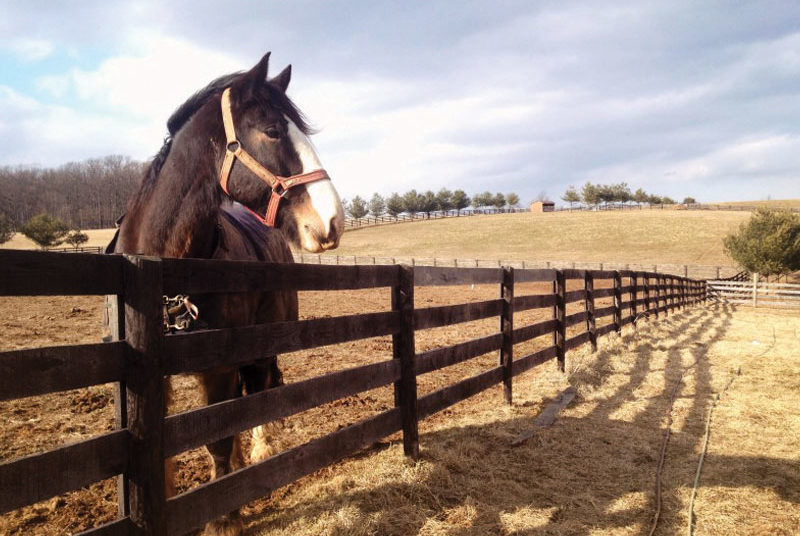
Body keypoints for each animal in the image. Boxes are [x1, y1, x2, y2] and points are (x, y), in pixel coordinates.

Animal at [108, 51, 344, 536]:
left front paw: (223, 518)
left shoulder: (218, 368)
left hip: (260, 349)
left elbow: (218, 438)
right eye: (273, 131)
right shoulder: (149, 379)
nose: (332, 221)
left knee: (256, 399)